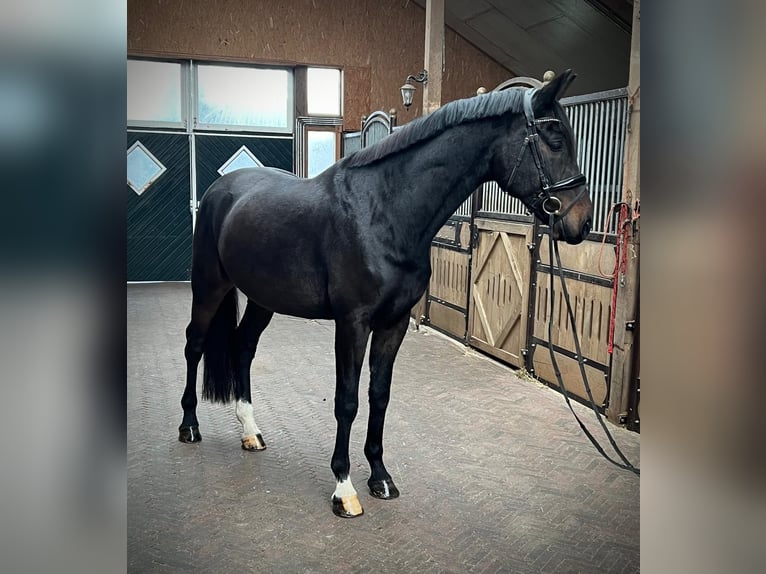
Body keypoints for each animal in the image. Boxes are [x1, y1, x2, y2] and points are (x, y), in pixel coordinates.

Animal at [180, 70, 592, 520]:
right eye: (555, 141)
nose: (582, 222)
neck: (384, 211)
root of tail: (221, 188)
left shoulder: (394, 323)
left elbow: (379, 396)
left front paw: (379, 477)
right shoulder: (352, 324)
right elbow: (347, 400)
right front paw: (343, 488)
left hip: (262, 300)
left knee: (243, 347)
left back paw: (251, 432)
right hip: (209, 287)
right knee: (195, 345)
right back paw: (189, 426)